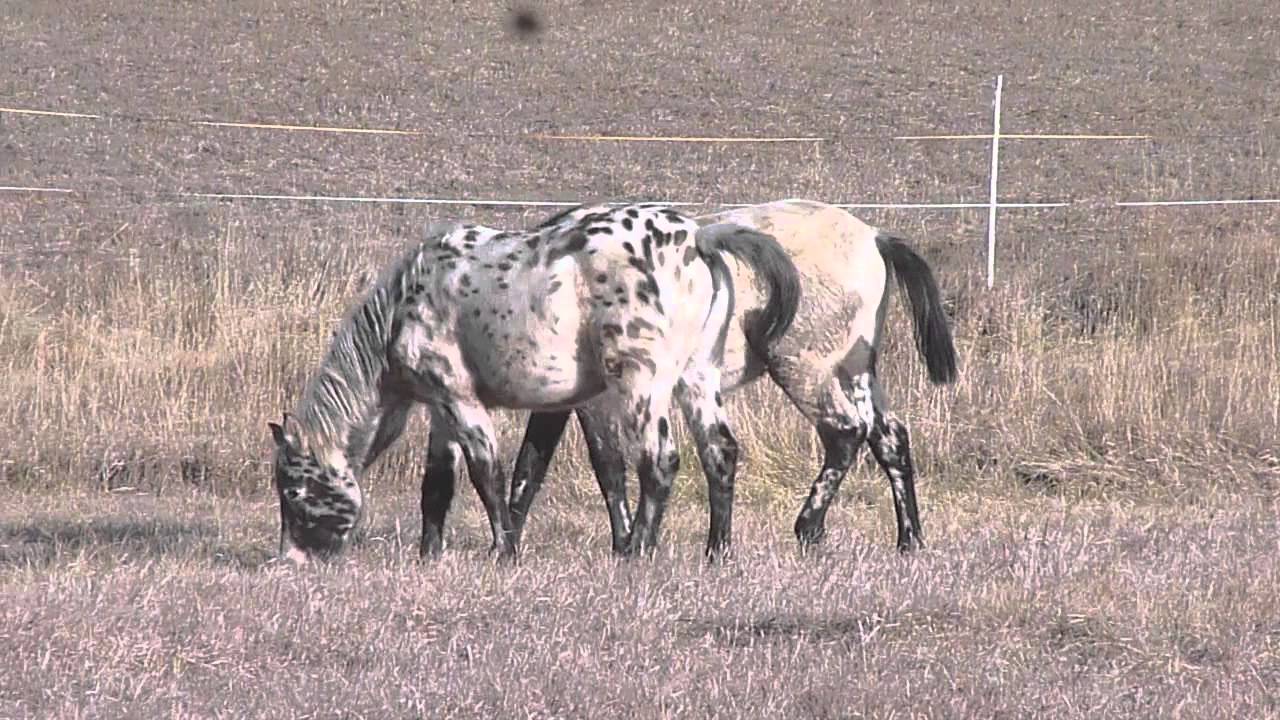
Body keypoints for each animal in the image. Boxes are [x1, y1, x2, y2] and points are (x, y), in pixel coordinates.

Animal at [267, 203, 800, 564]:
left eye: (292, 491)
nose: (290, 559)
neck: (406, 303)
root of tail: (697, 239)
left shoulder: (460, 400)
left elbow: (489, 474)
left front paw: (503, 551)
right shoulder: (442, 408)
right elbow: (438, 484)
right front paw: (429, 553)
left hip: (642, 385)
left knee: (660, 462)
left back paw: (639, 551)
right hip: (696, 379)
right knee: (719, 453)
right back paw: (717, 551)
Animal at [507, 199, 959, 556]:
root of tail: (873, 238)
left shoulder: (596, 402)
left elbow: (606, 467)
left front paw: (622, 543)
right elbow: (531, 464)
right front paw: (508, 543)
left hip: (802, 367)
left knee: (845, 432)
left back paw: (808, 528)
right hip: (856, 370)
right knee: (890, 440)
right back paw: (909, 540)